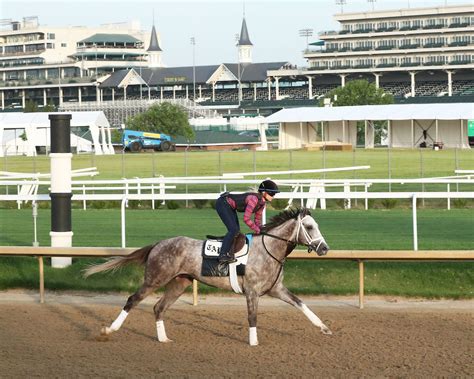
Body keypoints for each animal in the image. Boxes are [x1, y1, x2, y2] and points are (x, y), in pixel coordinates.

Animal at [84, 208, 330, 348]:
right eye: (309, 227)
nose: (325, 249)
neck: (269, 249)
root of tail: (158, 244)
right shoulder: (252, 291)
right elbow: (252, 317)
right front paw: (253, 342)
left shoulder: (275, 289)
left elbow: (300, 304)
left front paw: (324, 327)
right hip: (155, 278)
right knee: (132, 300)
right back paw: (109, 330)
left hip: (179, 282)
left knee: (158, 307)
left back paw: (163, 339)